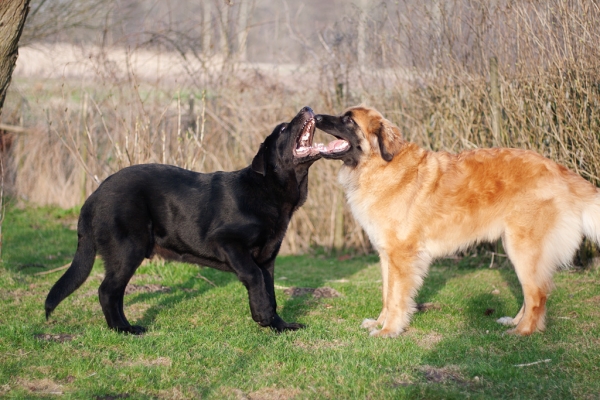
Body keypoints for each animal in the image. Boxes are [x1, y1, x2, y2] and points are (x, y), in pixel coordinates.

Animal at [45, 106, 340, 334]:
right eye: (282, 130)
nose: (306, 107)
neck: (268, 190)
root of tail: (94, 195)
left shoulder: (267, 259)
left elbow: (271, 291)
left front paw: (280, 325)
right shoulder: (227, 242)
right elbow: (254, 278)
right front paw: (263, 316)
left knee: (114, 292)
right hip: (128, 248)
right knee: (107, 291)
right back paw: (124, 329)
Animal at [314, 106, 600, 338]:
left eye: (348, 120)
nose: (315, 116)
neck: (379, 165)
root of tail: (560, 170)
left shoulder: (401, 256)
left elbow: (396, 298)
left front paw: (389, 330)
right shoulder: (386, 255)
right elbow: (386, 294)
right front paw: (379, 323)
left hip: (525, 248)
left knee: (538, 294)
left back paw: (524, 332)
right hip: (516, 247)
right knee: (531, 294)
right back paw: (514, 322)